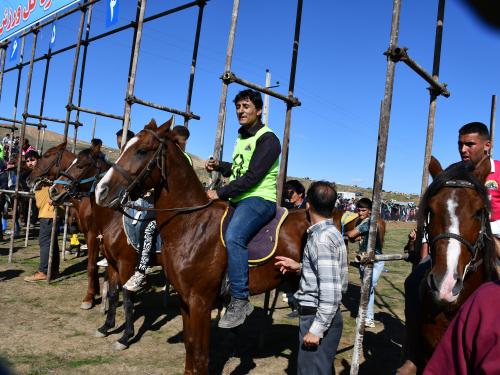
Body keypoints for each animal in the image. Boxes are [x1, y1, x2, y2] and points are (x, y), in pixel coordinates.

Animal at [24, 142, 101, 310]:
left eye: (46, 156)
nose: (28, 179)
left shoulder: (94, 233)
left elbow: (92, 264)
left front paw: (89, 297)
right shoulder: (89, 232)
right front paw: (95, 291)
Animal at [47, 148, 164, 352]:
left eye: (80, 165)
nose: (54, 190)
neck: (114, 220)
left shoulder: (126, 266)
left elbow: (127, 298)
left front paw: (125, 337)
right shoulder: (112, 264)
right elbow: (113, 293)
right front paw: (106, 327)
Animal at [94, 119, 308, 374]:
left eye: (142, 151)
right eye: (124, 146)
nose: (101, 191)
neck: (192, 225)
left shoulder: (200, 302)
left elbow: (200, 354)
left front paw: (123, 335)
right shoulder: (185, 301)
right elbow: (190, 346)